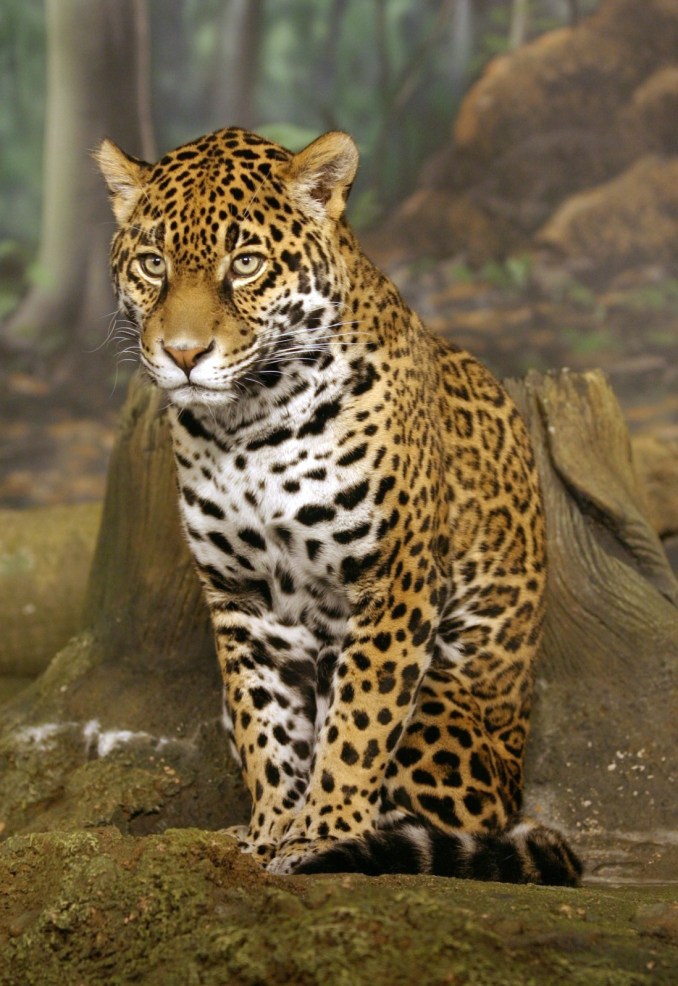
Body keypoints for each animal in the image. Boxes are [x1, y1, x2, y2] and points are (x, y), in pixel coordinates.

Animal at [96, 126, 581, 885]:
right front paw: (269, 831)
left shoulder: (395, 583)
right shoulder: (240, 599)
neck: (248, 428)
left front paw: (324, 833)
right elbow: (265, 727)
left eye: (246, 264)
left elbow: (357, 725)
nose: (182, 354)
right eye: (152, 264)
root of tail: (516, 777)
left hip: (449, 730)